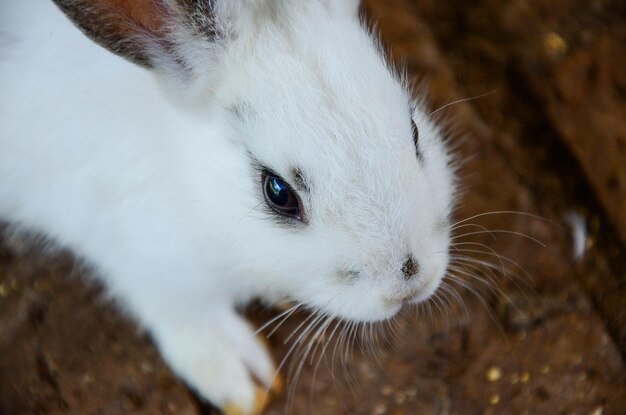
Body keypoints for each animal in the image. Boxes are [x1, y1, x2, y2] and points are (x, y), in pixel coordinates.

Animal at [1, 1, 454, 414]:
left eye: (413, 129)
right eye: (278, 192)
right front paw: (244, 380)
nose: (410, 283)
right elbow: (178, 309)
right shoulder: (130, 249)